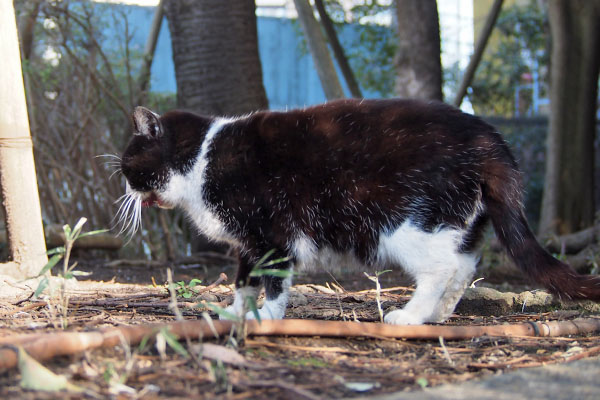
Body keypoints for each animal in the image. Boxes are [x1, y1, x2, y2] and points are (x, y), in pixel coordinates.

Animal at [118, 99, 600, 324]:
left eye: (128, 168)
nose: (124, 189)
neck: (203, 157)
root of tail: (491, 139)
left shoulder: (273, 235)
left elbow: (272, 280)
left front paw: (268, 317)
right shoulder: (248, 243)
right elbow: (244, 279)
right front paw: (239, 311)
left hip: (408, 222)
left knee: (443, 267)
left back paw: (410, 316)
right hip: (457, 221)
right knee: (465, 264)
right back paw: (437, 315)